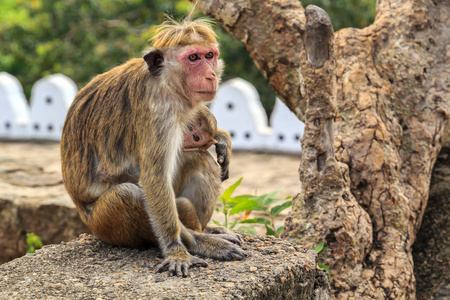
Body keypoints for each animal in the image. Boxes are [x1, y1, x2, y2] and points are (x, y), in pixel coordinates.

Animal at [60, 16, 243, 276]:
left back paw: (205, 229)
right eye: (193, 58)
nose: (211, 75)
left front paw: (221, 135)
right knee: (128, 194)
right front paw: (177, 248)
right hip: (104, 225)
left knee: (198, 160)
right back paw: (196, 240)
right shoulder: (158, 111)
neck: (164, 80)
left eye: (209, 55)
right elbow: (154, 180)